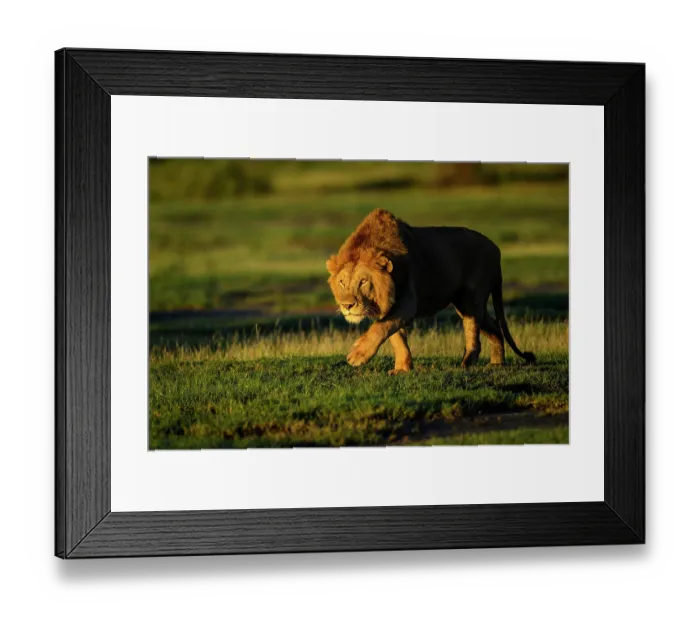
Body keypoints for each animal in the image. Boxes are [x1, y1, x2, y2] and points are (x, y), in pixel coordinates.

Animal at [326, 208, 535, 374]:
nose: (347, 305)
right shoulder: (390, 307)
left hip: (472, 299)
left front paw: (357, 355)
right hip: (466, 304)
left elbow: (381, 328)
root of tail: (496, 248)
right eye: (342, 282)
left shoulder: (407, 302)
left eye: (363, 281)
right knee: (494, 328)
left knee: (474, 333)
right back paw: (497, 364)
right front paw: (402, 368)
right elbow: (396, 337)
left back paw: (467, 363)